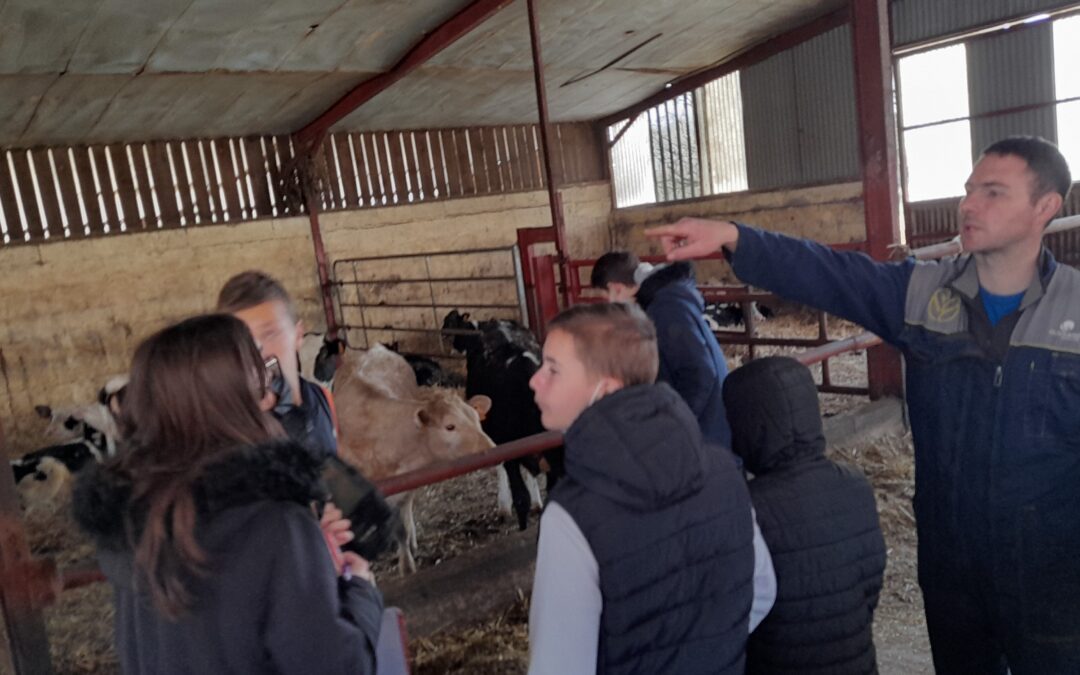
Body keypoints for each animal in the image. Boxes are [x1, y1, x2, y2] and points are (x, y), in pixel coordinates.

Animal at [332, 347, 494, 574]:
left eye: (476, 418)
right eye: (450, 426)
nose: (490, 448)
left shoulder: (404, 484)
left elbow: (401, 528)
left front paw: (406, 566)